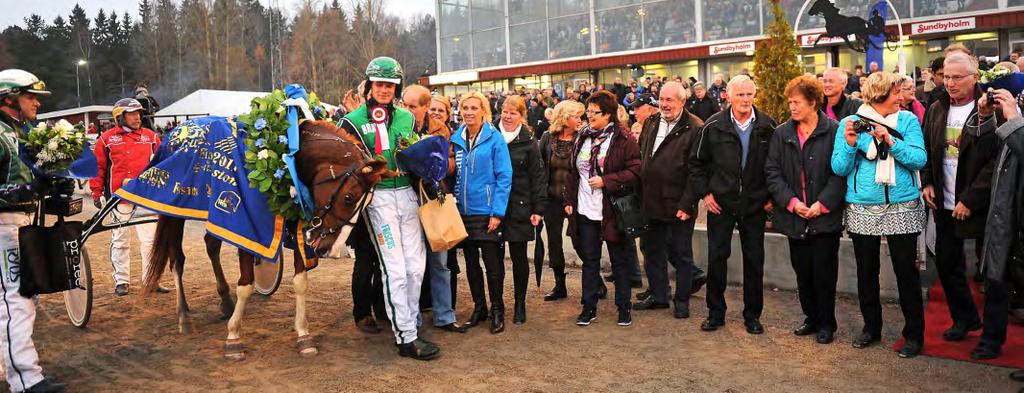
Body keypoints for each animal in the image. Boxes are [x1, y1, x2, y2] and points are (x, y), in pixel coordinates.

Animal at [140, 119, 387, 360]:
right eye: (348, 198)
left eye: (366, 205)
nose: (330, 250)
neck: (287, 160)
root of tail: (178, 129)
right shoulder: (247, 224)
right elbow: (246, 285)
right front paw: (233, 338)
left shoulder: (297, 225)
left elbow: (300, 282)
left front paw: (303, 335)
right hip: (174, 208)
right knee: (177, 259)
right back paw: (184, 315)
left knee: (211, 246)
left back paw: (225, 301)